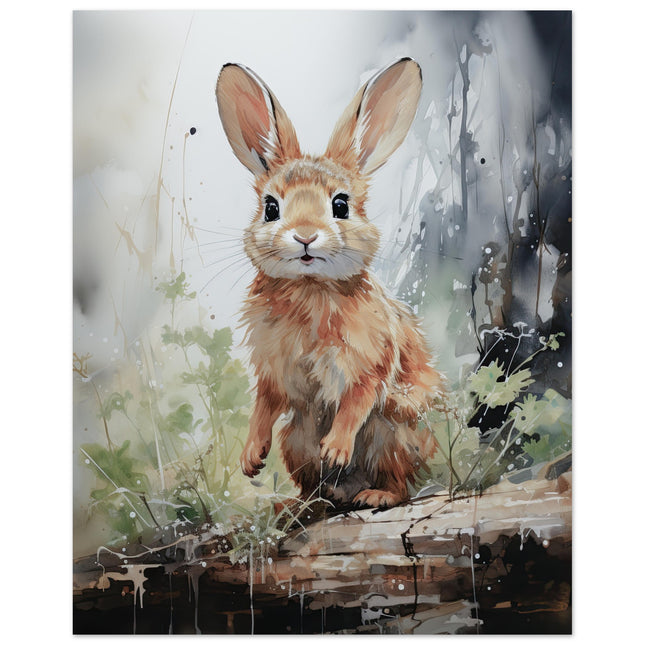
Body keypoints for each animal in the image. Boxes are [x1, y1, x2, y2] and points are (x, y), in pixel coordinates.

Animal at [215, 58, 444, 509]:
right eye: (271, 208)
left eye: (340, 205)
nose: (305, 236)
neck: (309, 287)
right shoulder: (273, 371)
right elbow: (263, 404)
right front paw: (250, 458)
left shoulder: (370, 359)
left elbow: (357, 400)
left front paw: (336, 449)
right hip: (296, 439)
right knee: (313, 487)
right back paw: (298, 502)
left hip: (392, 435)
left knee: (399, 481)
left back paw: (373, 494)